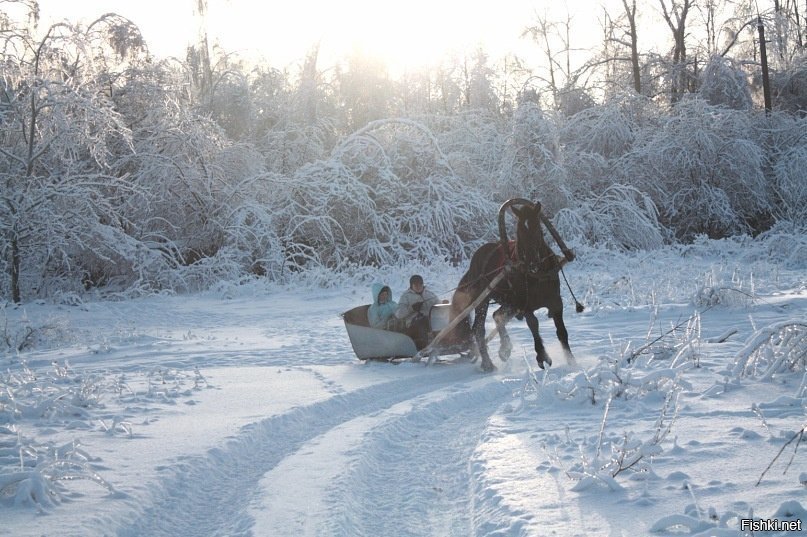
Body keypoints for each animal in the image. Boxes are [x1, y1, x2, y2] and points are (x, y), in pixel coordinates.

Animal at [448, 199, 576, 370]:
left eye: (538, 229)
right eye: (519, 232)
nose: (532, 263)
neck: (537, 274)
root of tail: (475, 260)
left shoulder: (555, 301)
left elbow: (562, 332)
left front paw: (572, 361)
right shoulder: (525, 304)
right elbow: (533, 325)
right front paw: (542, 356)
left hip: (509, 302)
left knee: (497, 316)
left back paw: (504, 349)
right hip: (483, 300)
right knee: (479, 329)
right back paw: (487, 363)